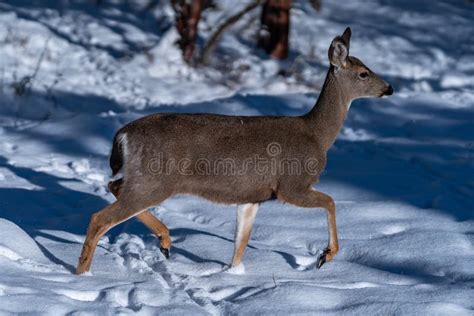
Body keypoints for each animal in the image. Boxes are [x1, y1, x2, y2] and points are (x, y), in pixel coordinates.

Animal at [75, 27, 392, 274]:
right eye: (364, 73)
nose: (389, 88)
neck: (317, 134)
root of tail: (122, 135)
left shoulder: (252, 196)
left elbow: (241, 242)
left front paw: (233, 275)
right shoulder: (291, 185)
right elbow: (331, 201)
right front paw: (326, 255)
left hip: (144, 180)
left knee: (112, 186)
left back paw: (164, 241)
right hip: (155, 180)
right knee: (100, 217)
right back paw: (84, 275)